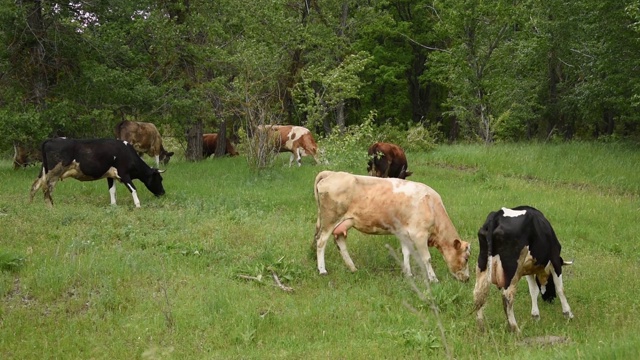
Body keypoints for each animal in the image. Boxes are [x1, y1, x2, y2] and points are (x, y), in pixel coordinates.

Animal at [30, 139, 166, 210]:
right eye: (160, 179)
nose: (163, 193)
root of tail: (51, 140)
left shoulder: (110, 175)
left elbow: (112, 190)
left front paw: (113, 205)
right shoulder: (124, 174)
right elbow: (133, 189)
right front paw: (138, 205)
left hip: (44, 171)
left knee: (35, 186)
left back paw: (30, 204)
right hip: (54, 172)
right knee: (47, 188)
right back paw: (50, 207)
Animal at [314, 170, 470, 282]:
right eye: (466, 258)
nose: (467, 279)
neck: (431, 205)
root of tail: (332, 173)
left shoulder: (404, 234)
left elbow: (406, 253)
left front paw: (408, 274)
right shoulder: (419, 235)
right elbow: (427, 258)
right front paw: (433, 279)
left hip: (343, 223)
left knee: (340, 243)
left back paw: (353, 268)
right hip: (329, 220)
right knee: (321, 242)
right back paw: (322, 270)